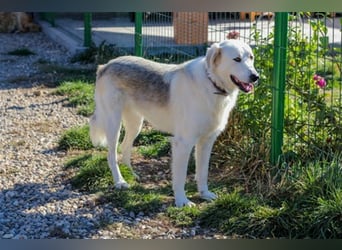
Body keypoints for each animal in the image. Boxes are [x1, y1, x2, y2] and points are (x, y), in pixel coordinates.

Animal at [89, 39, 258, 207]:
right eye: (237, 59)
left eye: (251, 57)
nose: (255, 76)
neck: (212, 84)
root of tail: (106, 65)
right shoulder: (183, 143)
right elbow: (181, 177)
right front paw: (182, 201)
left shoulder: (207, 141)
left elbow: (202, 172)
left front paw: (204, 194)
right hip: (113, 124)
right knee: (111, 155)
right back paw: (120, 181)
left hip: (135, 124)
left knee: (124, 147)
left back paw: (132, 174)